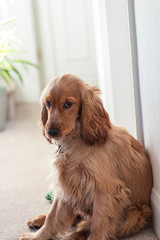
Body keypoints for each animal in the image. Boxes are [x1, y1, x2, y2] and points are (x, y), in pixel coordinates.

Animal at [20, 74, 152, 240]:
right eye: (48, 103)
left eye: (68, 104)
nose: (50, 131)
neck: (76, 141)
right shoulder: (65, 183)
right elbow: (52, 216)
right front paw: (37, 236)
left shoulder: (105, 190)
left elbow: (98, 223)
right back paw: (38, 219)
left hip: (136, 213)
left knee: (83, 226)